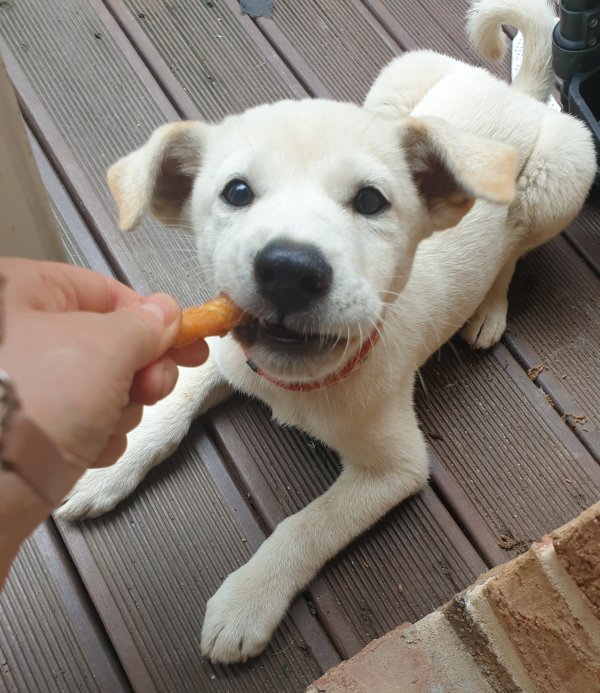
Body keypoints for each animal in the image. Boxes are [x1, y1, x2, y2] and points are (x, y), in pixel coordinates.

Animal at [56, 0, 596, 664]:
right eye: (236, 192)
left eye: (371, 201)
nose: (289, 270)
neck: (299, 383)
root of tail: (516, 93)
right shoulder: (225, 353)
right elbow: (173, 404)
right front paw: (109, 468)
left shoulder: (395, 468)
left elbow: (306, 525)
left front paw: (247, 602)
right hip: (395, 83)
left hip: (565, 175)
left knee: (514, 250)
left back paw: (488, 310)